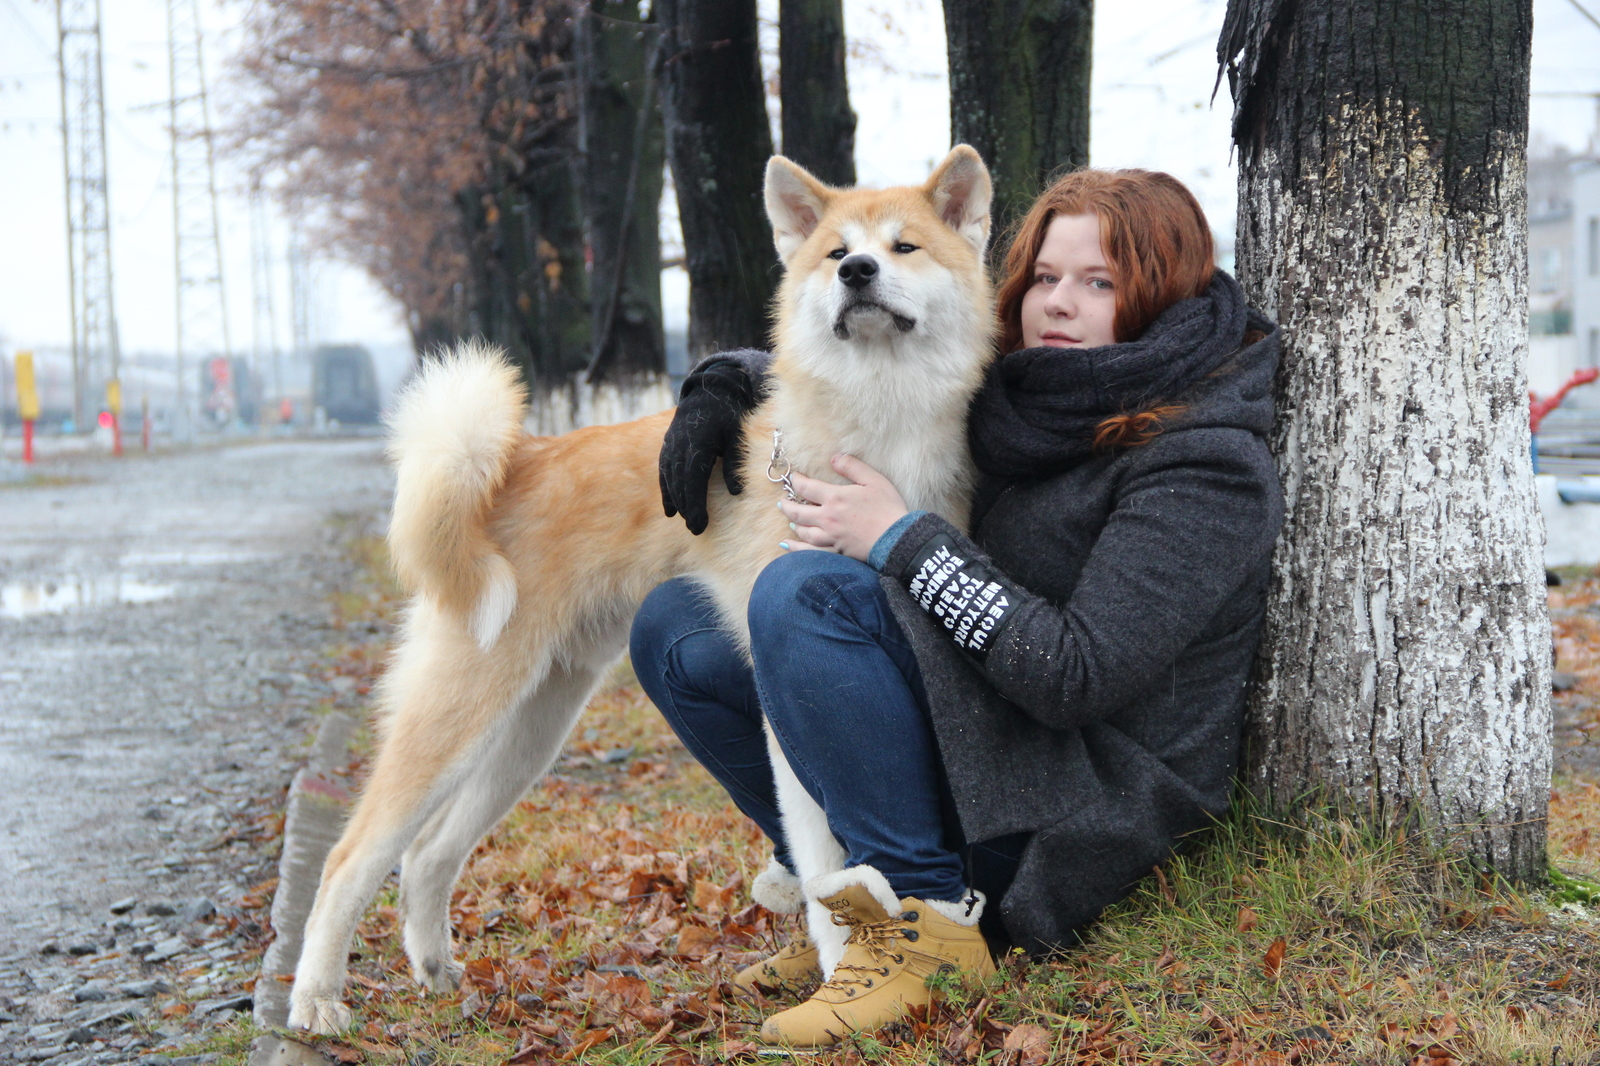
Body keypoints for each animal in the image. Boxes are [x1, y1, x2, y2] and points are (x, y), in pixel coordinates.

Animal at [281, 143, 992, 1030]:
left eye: (904, 247)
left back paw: (438, 972)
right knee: (349, 858)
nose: (859, 271)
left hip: (532, 728)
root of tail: (516, 460)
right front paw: (839, 969)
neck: (871, 428)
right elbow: (827, 858)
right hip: (461, 713)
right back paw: (315, 1000)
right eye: (837, 254)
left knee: (425, 854)